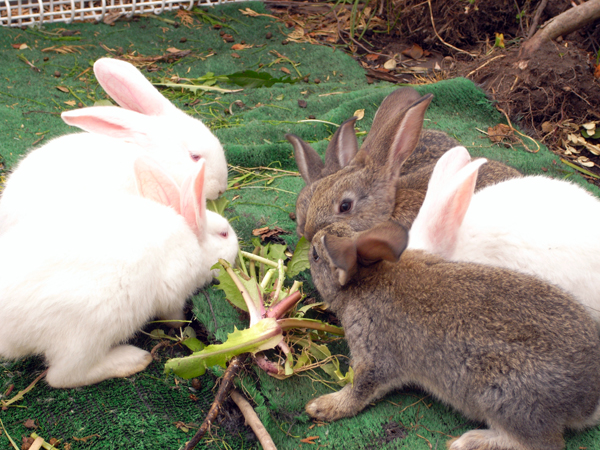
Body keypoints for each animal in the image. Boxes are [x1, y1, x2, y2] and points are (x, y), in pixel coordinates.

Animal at [0, 156, 239, 386]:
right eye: (224, 234)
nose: (237, 247)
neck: (192, 242)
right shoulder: (173, 293)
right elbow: (173, 316)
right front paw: (182, 322)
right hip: (89, 333)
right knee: (62, 376)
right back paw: (133, 359)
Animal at [308, 220, 600, 448]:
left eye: (315, 255)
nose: (311, 237)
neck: (366, 280)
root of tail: (588, 401)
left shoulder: (374, 353)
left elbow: (360, 389)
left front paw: (322, 407)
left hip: (506, 401)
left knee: (540, 443)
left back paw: (468, 442)